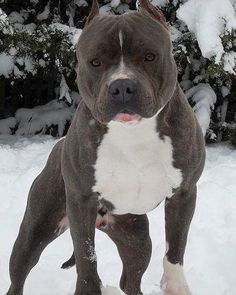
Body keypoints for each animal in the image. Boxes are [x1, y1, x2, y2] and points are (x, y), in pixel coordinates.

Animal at [6, 0, 206, 295]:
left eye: (150, 56)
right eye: (95, 62)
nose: (122, 86)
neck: (132, 132)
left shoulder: (183, 194)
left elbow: (175, 249)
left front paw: (176, 287)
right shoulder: (81, 202)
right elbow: (86, 256)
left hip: (136, 236)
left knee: (130, 279)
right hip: (34, 231)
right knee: (18, 276)